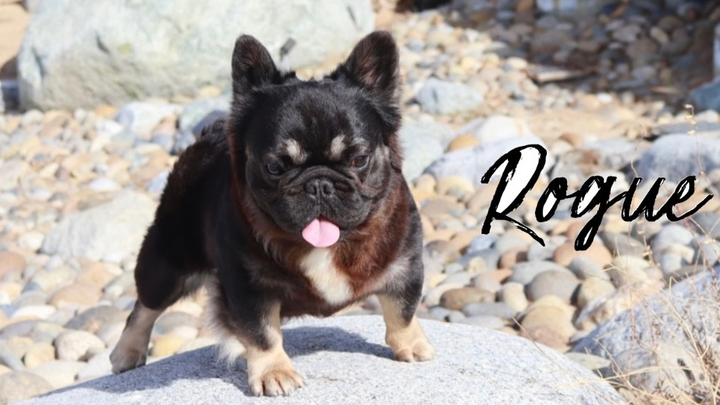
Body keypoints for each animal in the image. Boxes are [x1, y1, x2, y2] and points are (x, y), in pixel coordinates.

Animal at [109, 31, 435, 397]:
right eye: (275, 167)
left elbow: (402, 310)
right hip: (168, 262)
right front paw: (273, 371)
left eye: (359, 159)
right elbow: (262, 333)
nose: (319, 183)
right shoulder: (248, 287)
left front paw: (411, 344)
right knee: (144, 307)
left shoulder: (405, 265)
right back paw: (127, 351)